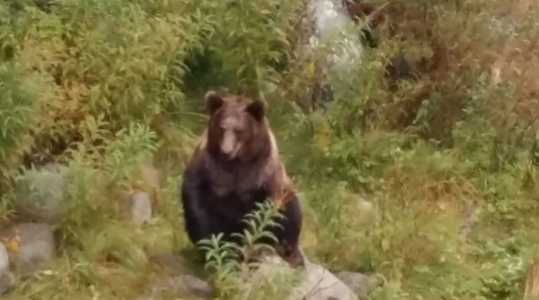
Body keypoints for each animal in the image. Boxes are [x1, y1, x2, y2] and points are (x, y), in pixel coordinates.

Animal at [178, 90, 302, 266]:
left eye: (239, 130)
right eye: (222, 127)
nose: (226, 151)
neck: (237, 163)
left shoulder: (263, 175)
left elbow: (268, 213)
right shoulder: (208, 169)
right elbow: (198, 203)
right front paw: (215, 245)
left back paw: (289, 251)